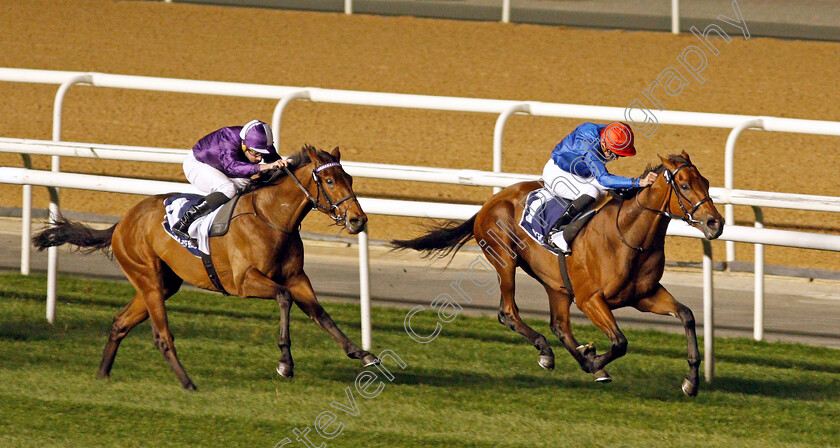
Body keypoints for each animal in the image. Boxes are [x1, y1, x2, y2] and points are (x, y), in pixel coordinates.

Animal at [33, 145, 380, 390]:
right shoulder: (245, 281)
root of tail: (121, 223)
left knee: (120, 322)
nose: (358, 220)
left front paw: (362, 353)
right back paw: (187, 383)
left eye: (350, 179)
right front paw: (285, 362)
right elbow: (283, 298)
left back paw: (103, 375)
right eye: (330, 180)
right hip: (147, 277)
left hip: (163, 283)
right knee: (161, 335)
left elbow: (321, 314)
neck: (271, 217)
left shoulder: (297, 277)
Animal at [390, 152, 724, 398]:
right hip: (505, 260)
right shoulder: (590, 299)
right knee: (508, 312)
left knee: (560, 325)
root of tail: (490, 202)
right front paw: (593, 360)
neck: (628, 234)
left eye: (706, 182)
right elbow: (619, 342)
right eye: (684, 185)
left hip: (556, 284)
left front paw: (691, 381)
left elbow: (687, 315)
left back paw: (578, 358)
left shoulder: (645, 295)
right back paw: (550, 353)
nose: (715, 223)